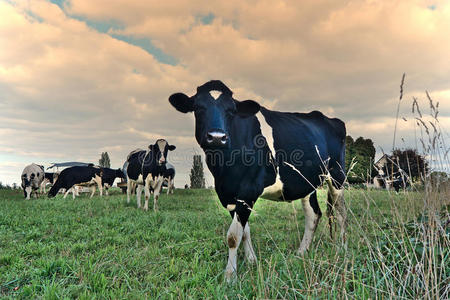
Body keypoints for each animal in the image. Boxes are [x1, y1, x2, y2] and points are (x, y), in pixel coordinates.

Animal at [169, 79, 348, 278]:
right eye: (198, 108)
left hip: (337, 176)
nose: (216, 137)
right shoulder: (229, 195)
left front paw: (230, 276)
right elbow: (244, 231)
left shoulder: (248, 190)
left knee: (341, 214)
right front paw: (251, 261)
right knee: (314, 214)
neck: (223, 168)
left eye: (231, 110)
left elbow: (233, 236)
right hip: (306, 183)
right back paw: (301, 253)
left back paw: (342, 249)